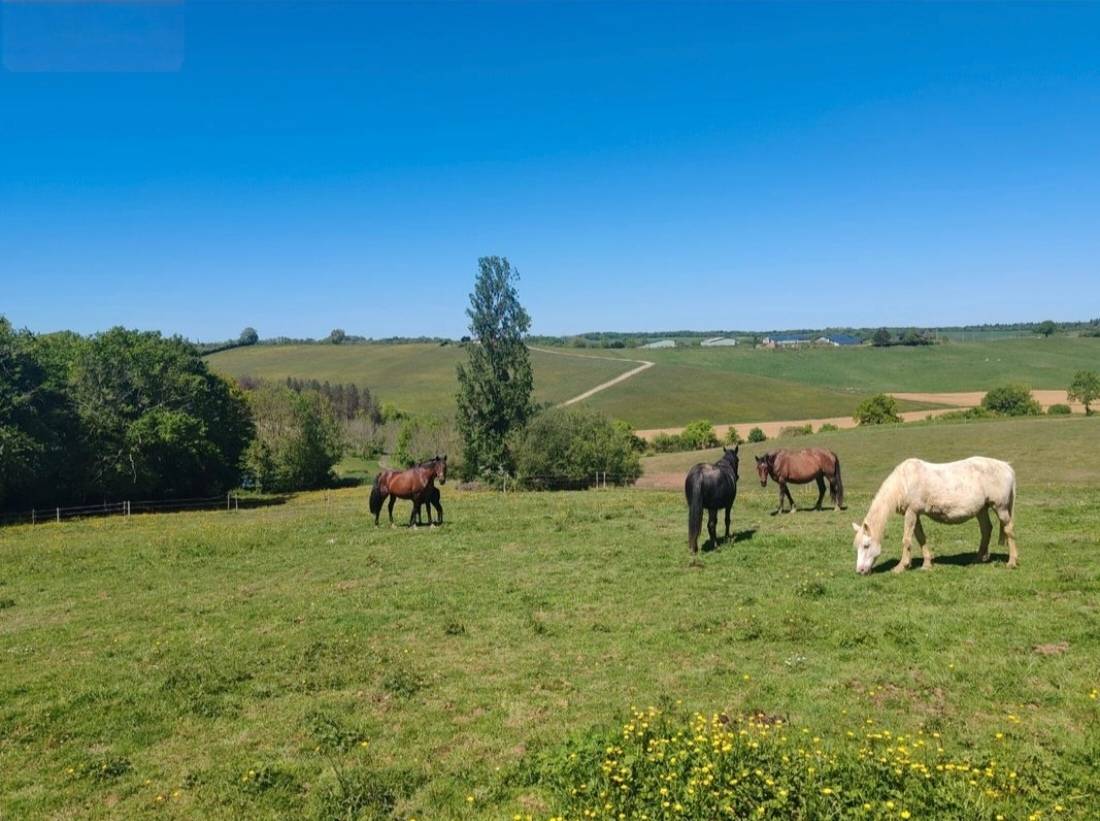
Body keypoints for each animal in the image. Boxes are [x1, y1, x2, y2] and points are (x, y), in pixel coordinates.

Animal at [852, 456, 1017, 575]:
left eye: (866, 545)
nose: (860, 571)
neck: (904, 482)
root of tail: (1007, 467)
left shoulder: (911, 512)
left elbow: (906, 540)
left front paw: (901, 567)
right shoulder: (915, 513)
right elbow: (921, 538)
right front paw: (926, 564)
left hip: (1001, 508)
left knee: (1008, 530)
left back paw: (1012, 562)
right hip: (982, 509)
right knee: (986, 530)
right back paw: (978, 559)